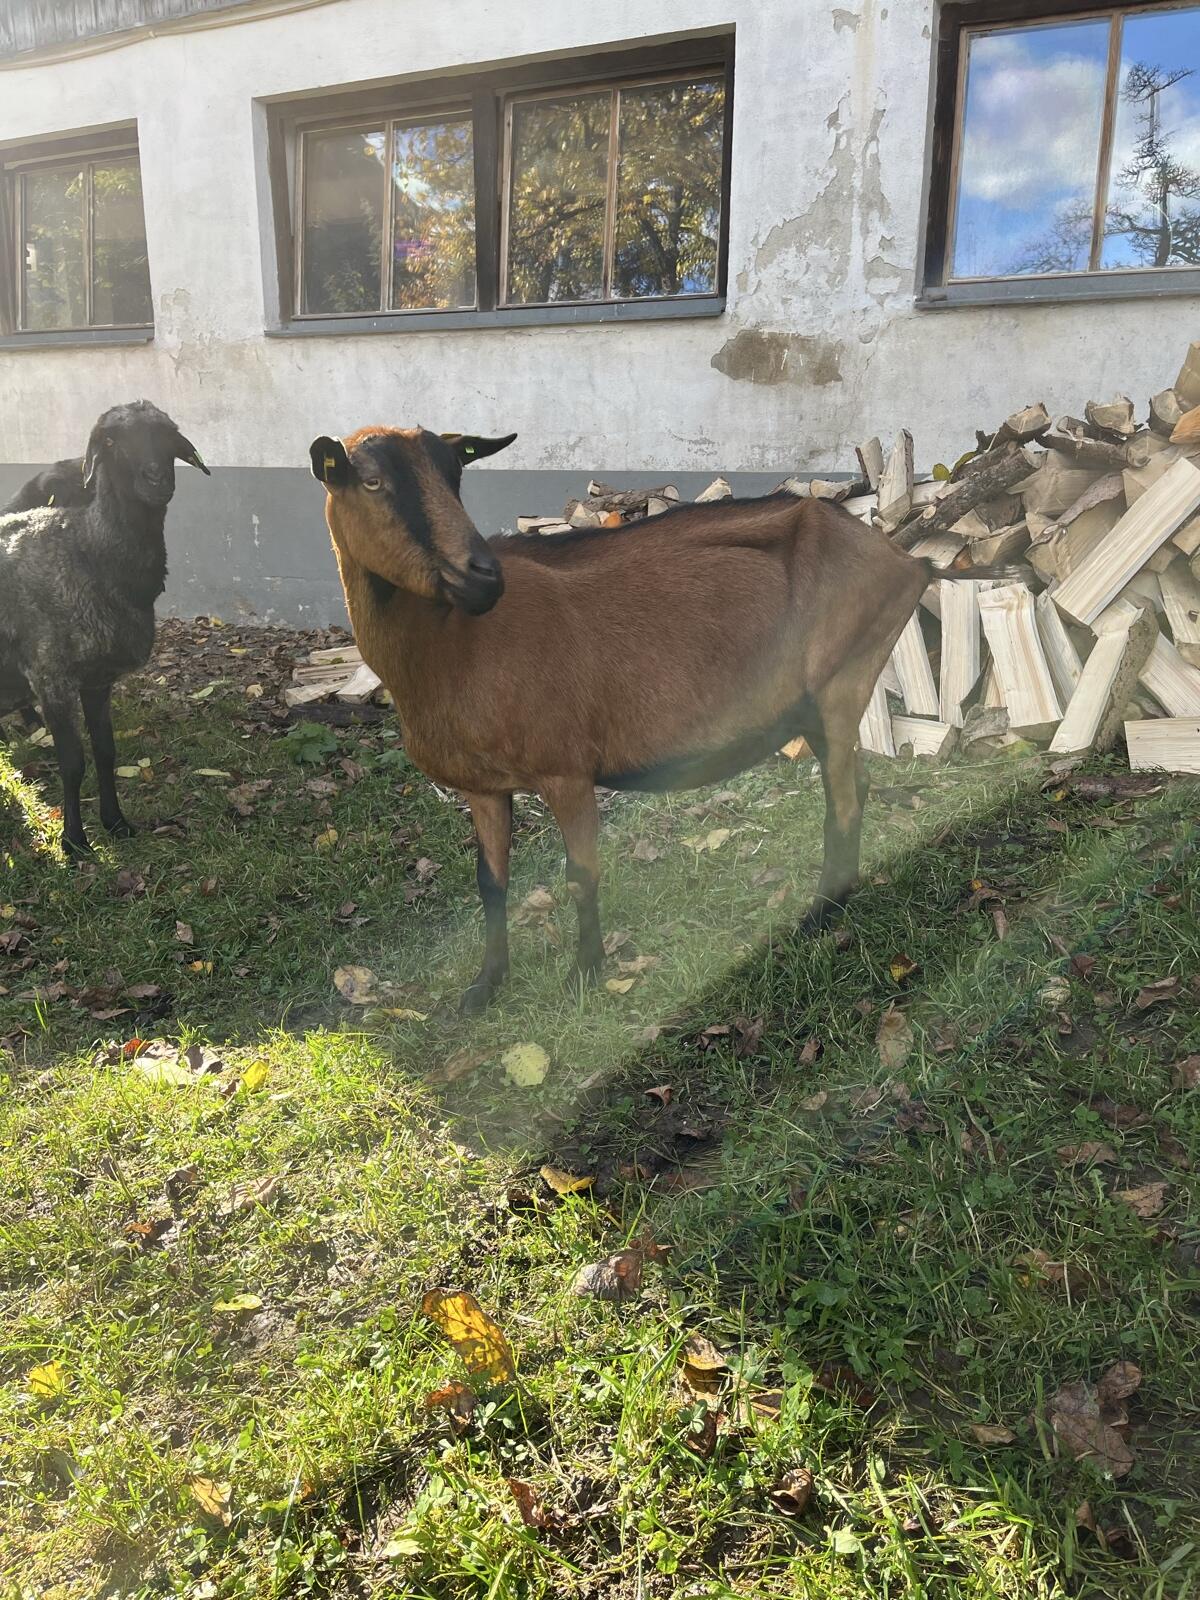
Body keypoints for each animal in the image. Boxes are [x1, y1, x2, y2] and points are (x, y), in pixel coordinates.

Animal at [0, 402, 209, 856]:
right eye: (111, 441)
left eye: (169, 436)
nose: (157, 480)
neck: (87, 550)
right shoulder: (52, 678)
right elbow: (73, 762)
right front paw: (75, 841)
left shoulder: (98, 680)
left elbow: (106, 752)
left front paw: (116, 823)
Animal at [310, 425, 986, 1013]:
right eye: (370, 480)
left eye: (455, 476)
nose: (482, 576)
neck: (454, 646)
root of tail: (910, 563)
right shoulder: (482, 787)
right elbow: (490, 883)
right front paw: (484, 988)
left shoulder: (565, 769)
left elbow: (581, 874)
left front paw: (583, 977)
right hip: (822, 704)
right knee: (857, 784)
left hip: (843, 679)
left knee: (842, 800)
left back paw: (819, 916)